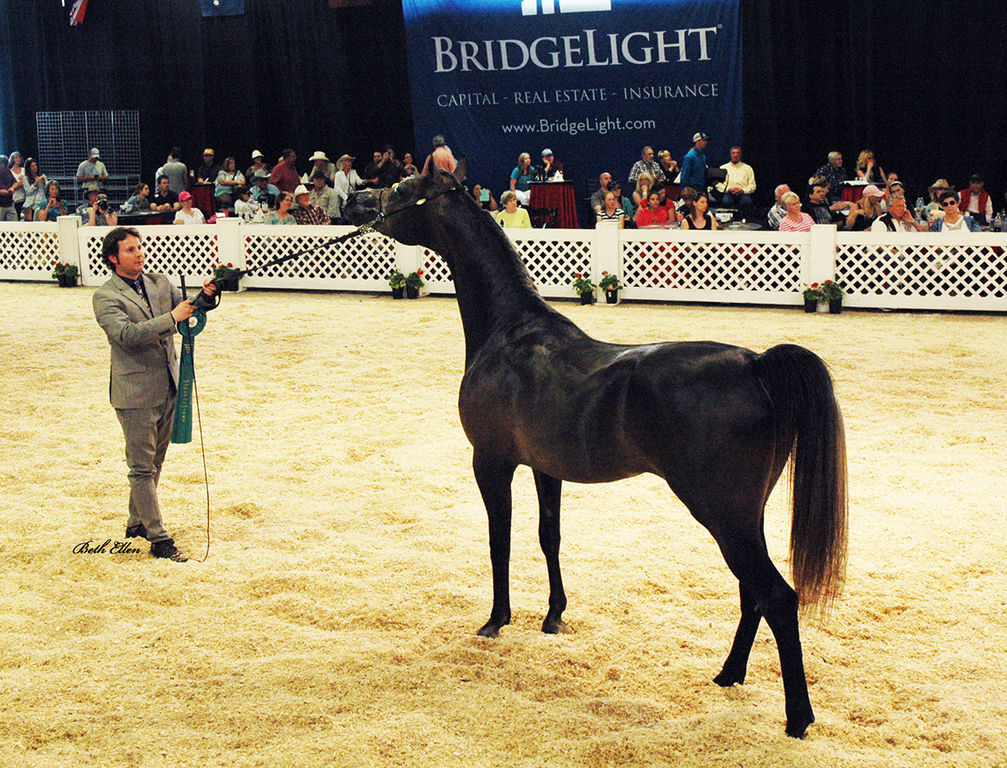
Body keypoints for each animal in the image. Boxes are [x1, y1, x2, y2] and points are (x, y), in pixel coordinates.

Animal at [344, 161, 847, 738]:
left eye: (403, 188)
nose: (357, 203)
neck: (509, 333)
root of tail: (755, 364)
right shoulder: (544, 468)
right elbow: (549, 538)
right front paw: (553, 615)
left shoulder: (490, 463)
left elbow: (500, 543)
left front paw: (496, 621)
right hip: (745, 516)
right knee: (753, 594)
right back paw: (728, 675)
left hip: (724, 515)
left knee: (777, 597)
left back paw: (797, 718)